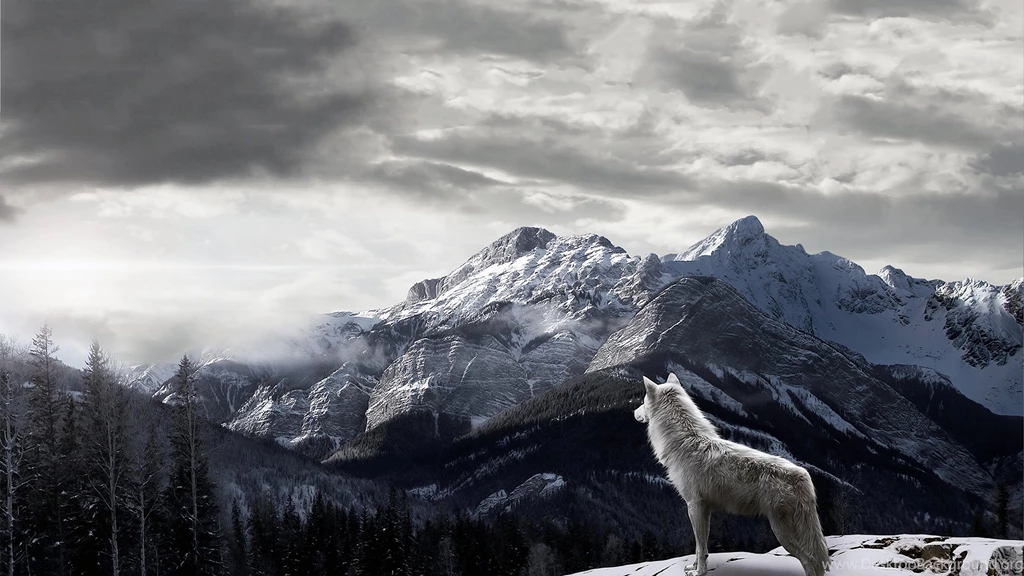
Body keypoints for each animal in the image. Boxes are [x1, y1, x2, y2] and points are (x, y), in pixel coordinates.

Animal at [634, 373, 830, 576]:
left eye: (642, 402)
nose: (633, 412)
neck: (684, 442)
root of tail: (803, 475)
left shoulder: (694, 506)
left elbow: (700, 547)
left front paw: (699, 572)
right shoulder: (704, 510)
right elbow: (700, 547)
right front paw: (694, 567)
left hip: (783, 534)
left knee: (811, 561)